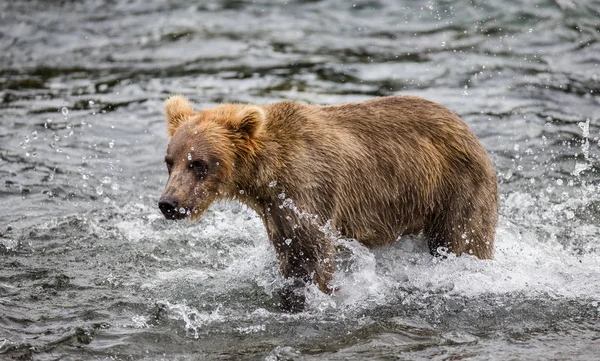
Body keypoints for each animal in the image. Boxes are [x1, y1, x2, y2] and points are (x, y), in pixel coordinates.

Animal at [158, 94, 496, 310]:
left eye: (198, 164)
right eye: (170, 161)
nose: (169, 203)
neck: (266, 177)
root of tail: (468, 129)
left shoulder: (309, 191)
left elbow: (313, 255)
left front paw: (306, 300)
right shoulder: (277, 211)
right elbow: (291, 254)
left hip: (454, 189)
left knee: (464, 240)